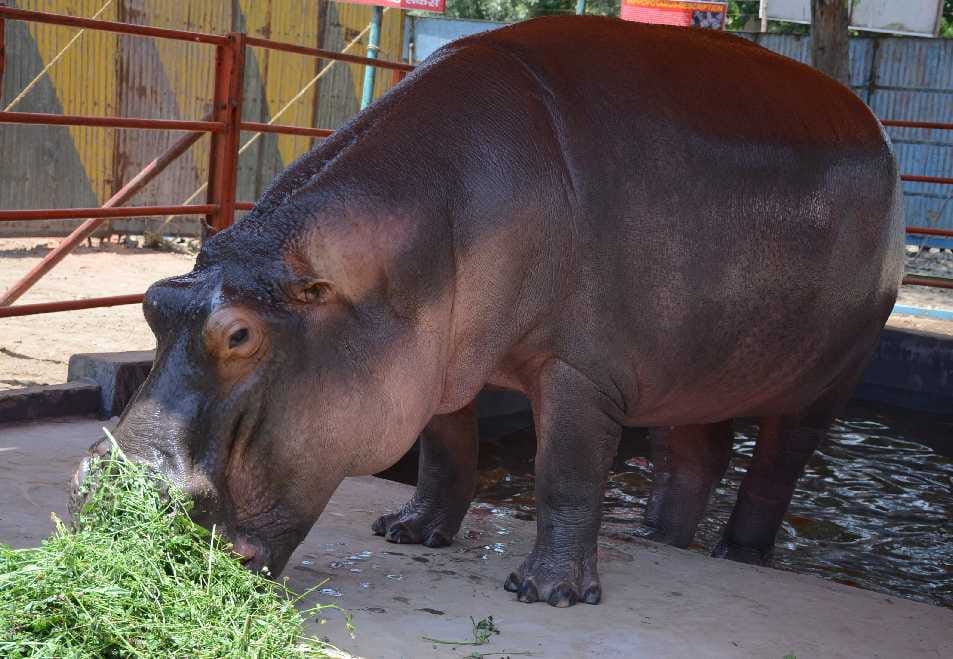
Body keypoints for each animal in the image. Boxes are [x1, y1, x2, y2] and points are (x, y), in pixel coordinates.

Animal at [73, 15, 903, 607]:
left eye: (239, 333)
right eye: (153, 301)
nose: (106, 492)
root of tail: (872, 126)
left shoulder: (579, 371)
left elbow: (564, 471)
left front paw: (547, 592)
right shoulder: (430, 358)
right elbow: (446, 449)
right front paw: (409, 531)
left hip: (823, 377)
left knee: (776, 463)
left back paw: (739, 552)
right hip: (692, 366)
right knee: (700, 451)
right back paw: (657, 536)